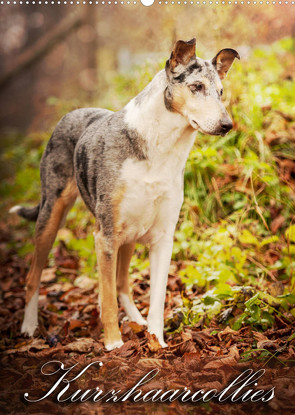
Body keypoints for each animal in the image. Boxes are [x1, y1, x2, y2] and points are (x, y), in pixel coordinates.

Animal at [10, 39, 240, 352]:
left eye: (220, 92)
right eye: (196, 87)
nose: (227, 125)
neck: (159, 147)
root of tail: (72, 112)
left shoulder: (162, 239)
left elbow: (156, 298)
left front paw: (157, 341)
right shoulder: (105, 235)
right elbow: (107, 298)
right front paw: (113, 343)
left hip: (129, 235)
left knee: (120, 283)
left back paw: (137, 321)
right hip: (51, 217)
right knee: (33, 277)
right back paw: (29, 326)